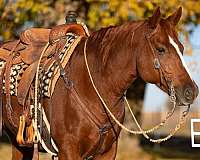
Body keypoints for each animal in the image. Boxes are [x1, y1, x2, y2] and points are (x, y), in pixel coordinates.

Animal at [1, 6, 198, 159]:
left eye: (181, 48)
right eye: (160, 49)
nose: (191, 91)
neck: (91, 86)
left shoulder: (108, 152)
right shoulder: (68, 151)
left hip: (19, 142)